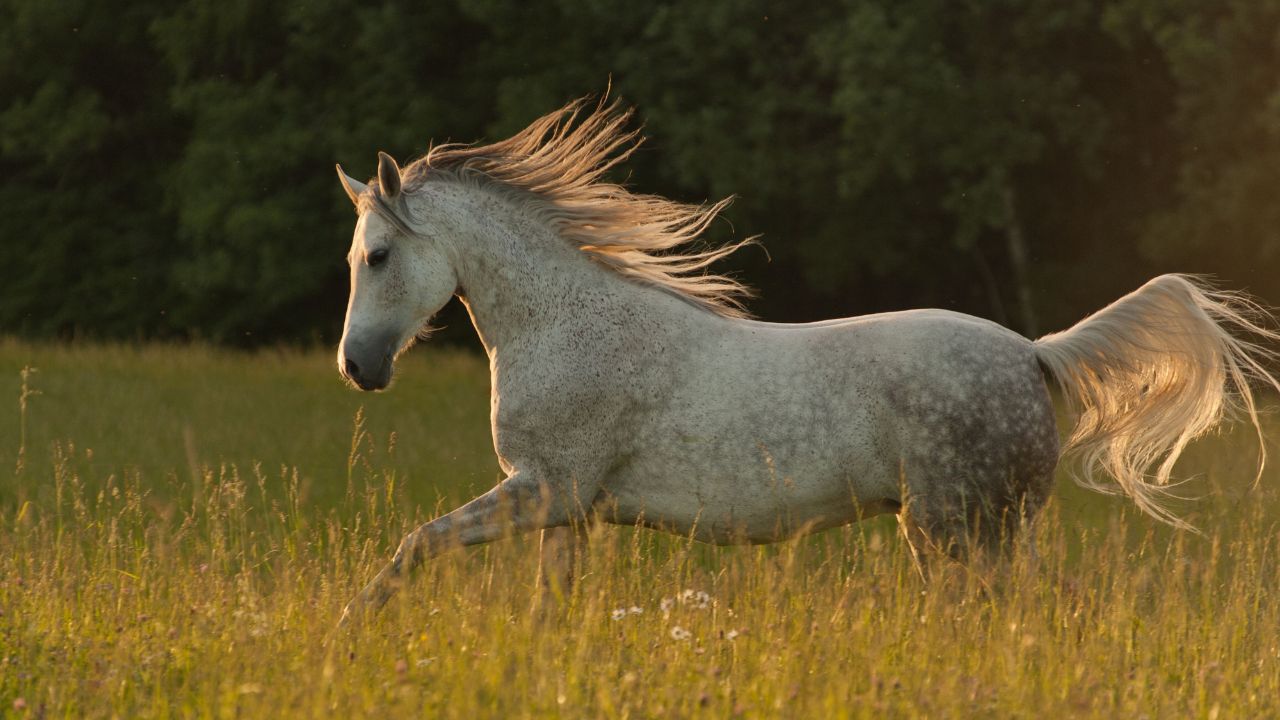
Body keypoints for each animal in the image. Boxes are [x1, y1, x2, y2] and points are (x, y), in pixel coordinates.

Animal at [332, 99, 1280, 624]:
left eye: (376, 256)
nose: (358, 370)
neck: (569, 327)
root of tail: (1033, 354)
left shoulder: (543, 490)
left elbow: (414, 547)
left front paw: (348, 632)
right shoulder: (566, 510)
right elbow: (543, 612)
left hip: (962, 529)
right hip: (964, 530)